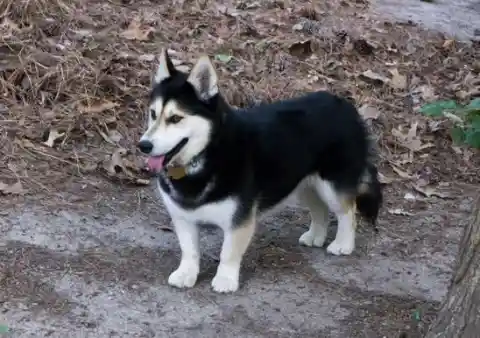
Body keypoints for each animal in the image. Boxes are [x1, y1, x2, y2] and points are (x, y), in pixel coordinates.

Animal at [138, 48, 382, 294]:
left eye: (175, 118)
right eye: (152, 113)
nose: (143, 145)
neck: (207, 153)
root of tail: (346, 105)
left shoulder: (239, 219)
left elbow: (228, 253)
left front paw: (225, 279)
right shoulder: (182, 217)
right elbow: (189, 251)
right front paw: (186, 274)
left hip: (332, 184)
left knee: (347, 212)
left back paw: (343, 244)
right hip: (303, 183)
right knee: (320, 209)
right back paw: (316, 236)